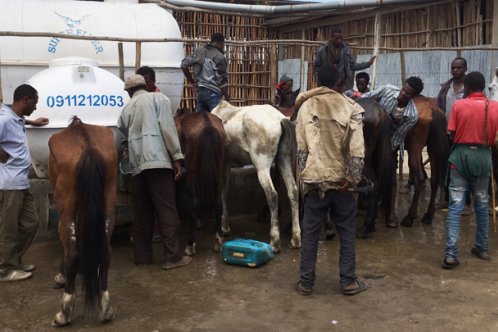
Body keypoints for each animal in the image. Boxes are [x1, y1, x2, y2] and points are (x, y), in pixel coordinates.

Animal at [49, 116, 117, 326]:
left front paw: (61, 276)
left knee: (72, 253)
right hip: (108, 202)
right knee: (106, 252)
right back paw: (105, 308)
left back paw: (63, 313)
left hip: (67, 209)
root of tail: (87, 147)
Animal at [173, 110, 224, 253]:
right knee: (219, 203)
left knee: (193, 204)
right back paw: (218, 238)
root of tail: (207, 125)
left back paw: (190, 243)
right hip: (218, 170)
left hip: (192, 172)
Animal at [211, 100, 300, 252]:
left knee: (272, 195)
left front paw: (223, 227)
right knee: (293, 192)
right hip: (284, 159)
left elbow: (221, 193)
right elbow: (225, 192)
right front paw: (225, 226)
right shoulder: (227, 164)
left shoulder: (222, 164)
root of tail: (280, 119)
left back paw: (275, 241)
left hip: (262, 165)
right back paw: (295, 239)